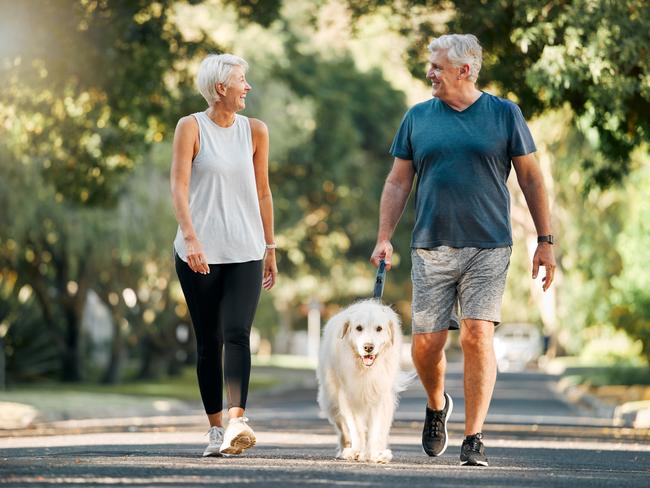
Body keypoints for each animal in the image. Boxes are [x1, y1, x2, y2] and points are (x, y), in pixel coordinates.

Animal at [316, 300, 408, 464]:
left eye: (379, 328)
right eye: (359, 328)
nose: (368, 347)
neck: (365, 370)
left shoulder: (380, 397)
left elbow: (377, 429)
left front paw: (376, 454)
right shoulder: (348, 397)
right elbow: (356, 428)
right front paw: (357, 452)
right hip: (331, 401)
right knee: (343, 429)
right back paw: (345, 449)